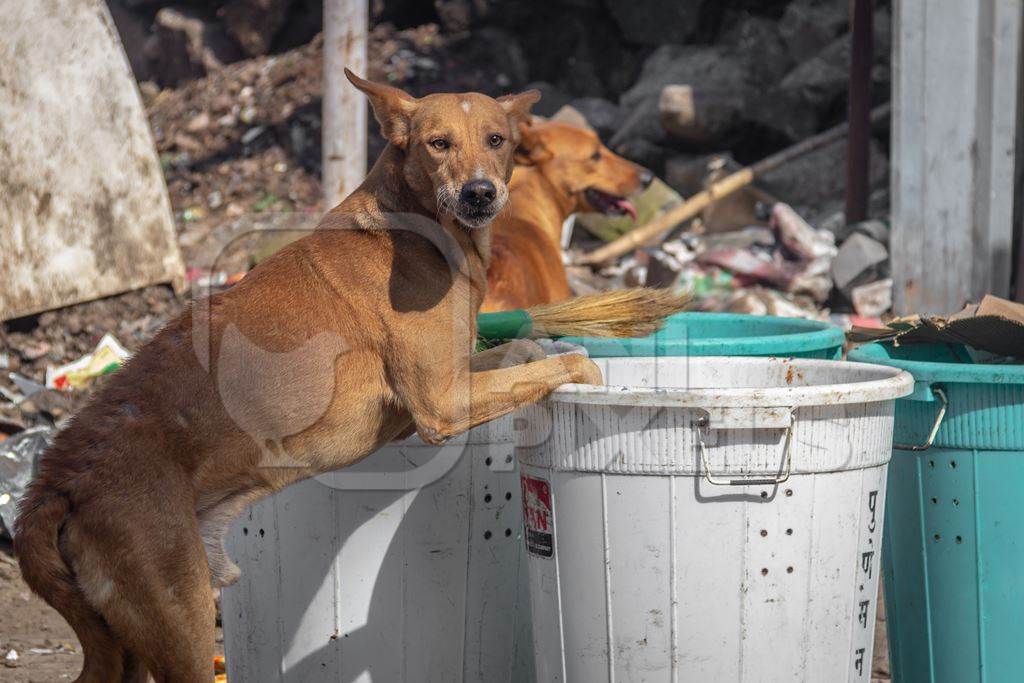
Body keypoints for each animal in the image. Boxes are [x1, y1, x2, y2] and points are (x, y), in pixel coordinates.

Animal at [14, 72, 598, 679]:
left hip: (126, 639)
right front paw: (589, 371)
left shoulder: (453, 379)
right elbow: (565, 365)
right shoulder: (440, 403)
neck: (419, 225)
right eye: (439, 144)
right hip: (181, 620)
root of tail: (57, 479)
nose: (480, 193)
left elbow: (527, 350)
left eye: (495, 139)